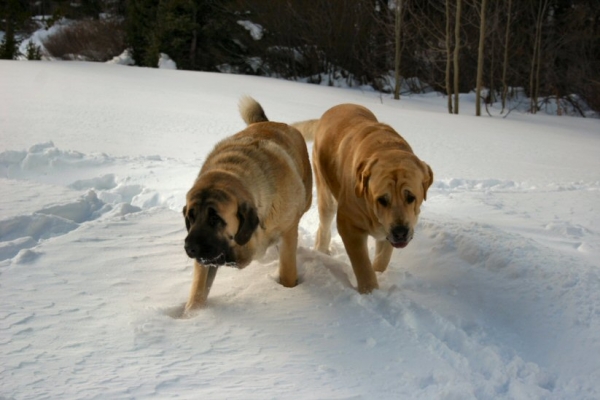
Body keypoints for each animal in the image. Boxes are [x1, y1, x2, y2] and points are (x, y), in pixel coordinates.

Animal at [182, 96, 312, 310]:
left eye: (215, 218)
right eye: (190, 217)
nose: (189, 248)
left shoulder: (287, 231)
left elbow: (287, 272)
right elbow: (198, 291)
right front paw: (193, 314)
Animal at [292, 104, 434, 294]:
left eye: (411, 197)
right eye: (382, 199)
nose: (400, 232)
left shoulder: (387, 231)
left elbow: (383, 258)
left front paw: (378, 273)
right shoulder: (348, 224)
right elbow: (362, 263)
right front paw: (370, 291)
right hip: (325, 191)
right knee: (324, 227)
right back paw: (321, 251)